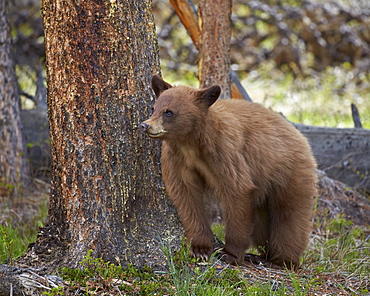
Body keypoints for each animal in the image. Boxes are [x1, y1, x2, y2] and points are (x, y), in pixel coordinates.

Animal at [140, 75, 316, 270]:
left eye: (169, 112)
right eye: (154, 108)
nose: (145, 125)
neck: (191, 143)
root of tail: (299, 135)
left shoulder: (224, 151)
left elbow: (237, 191)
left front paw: (230, 254)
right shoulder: (177, 158)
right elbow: (186, 195)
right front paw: (200, 248)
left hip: (288, 172)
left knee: (289, 216)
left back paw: (281, 261)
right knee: (261, 222)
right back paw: (261, 255)